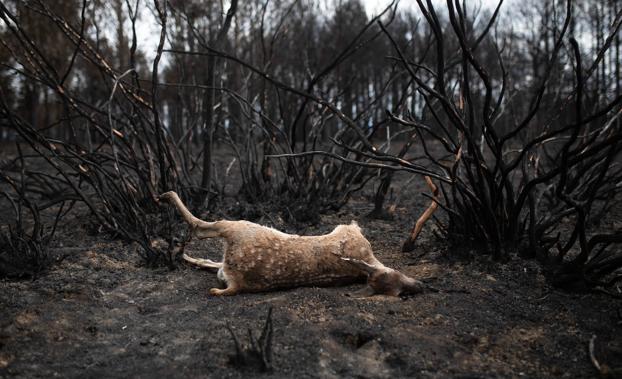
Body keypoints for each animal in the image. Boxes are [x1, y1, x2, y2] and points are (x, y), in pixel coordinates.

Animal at [160, 193, 428, 296]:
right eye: (399, 288)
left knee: (201, 227)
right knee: (209, 255)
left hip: (240, 227)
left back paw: (165, 197)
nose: (421, 285)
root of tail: (237, 282)